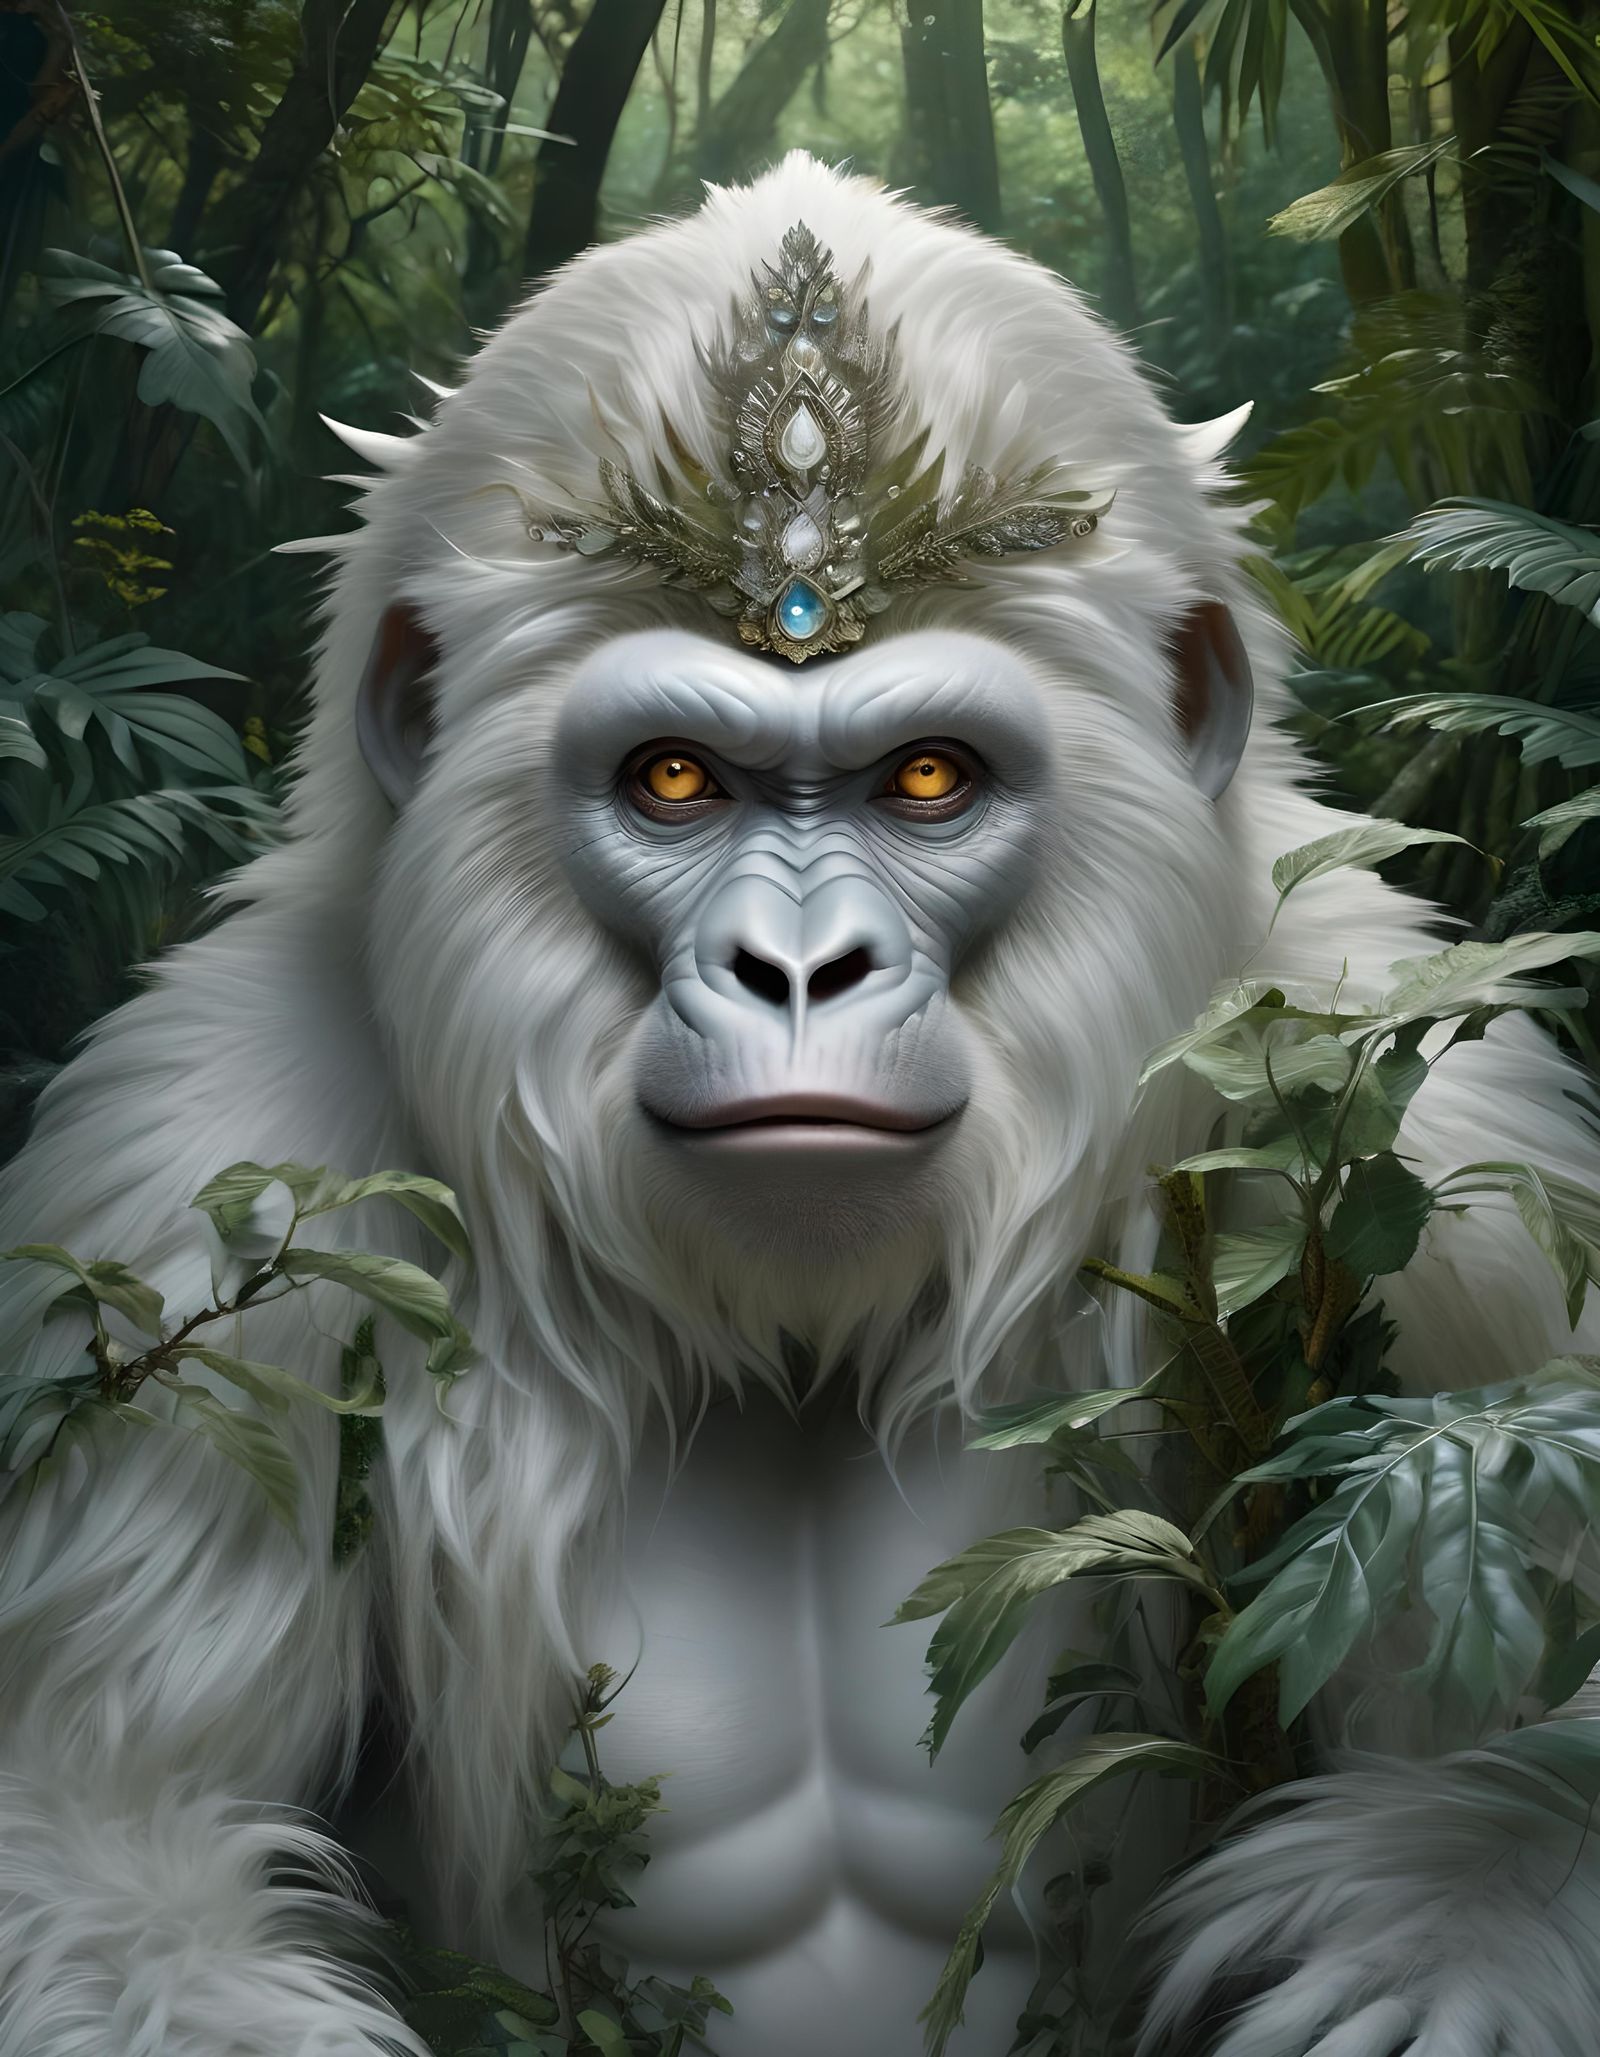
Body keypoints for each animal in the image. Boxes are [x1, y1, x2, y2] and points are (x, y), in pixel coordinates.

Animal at [1, 154, 1597, 2057]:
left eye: (929, 779)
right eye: (677, 780)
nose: (799, 971)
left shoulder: (1472, 1223)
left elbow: (1505, 1779)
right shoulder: (190, 1180)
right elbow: (109, 1820)